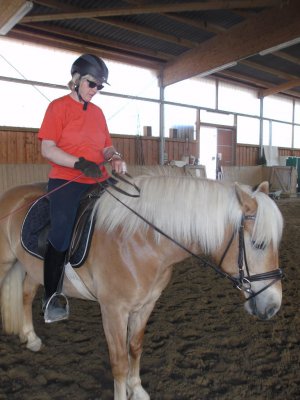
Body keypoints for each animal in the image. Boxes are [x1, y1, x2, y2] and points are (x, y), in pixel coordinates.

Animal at [0, 177, 284, 398]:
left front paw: (136, 389)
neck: (140, 242)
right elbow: (119, 362)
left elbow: (134, 347)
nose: (273, 306)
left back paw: (31, 337)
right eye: (258, 244)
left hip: (32, 269)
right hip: (6, 263)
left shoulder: (146, 304)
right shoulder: (113, 311)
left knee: (26, 294)